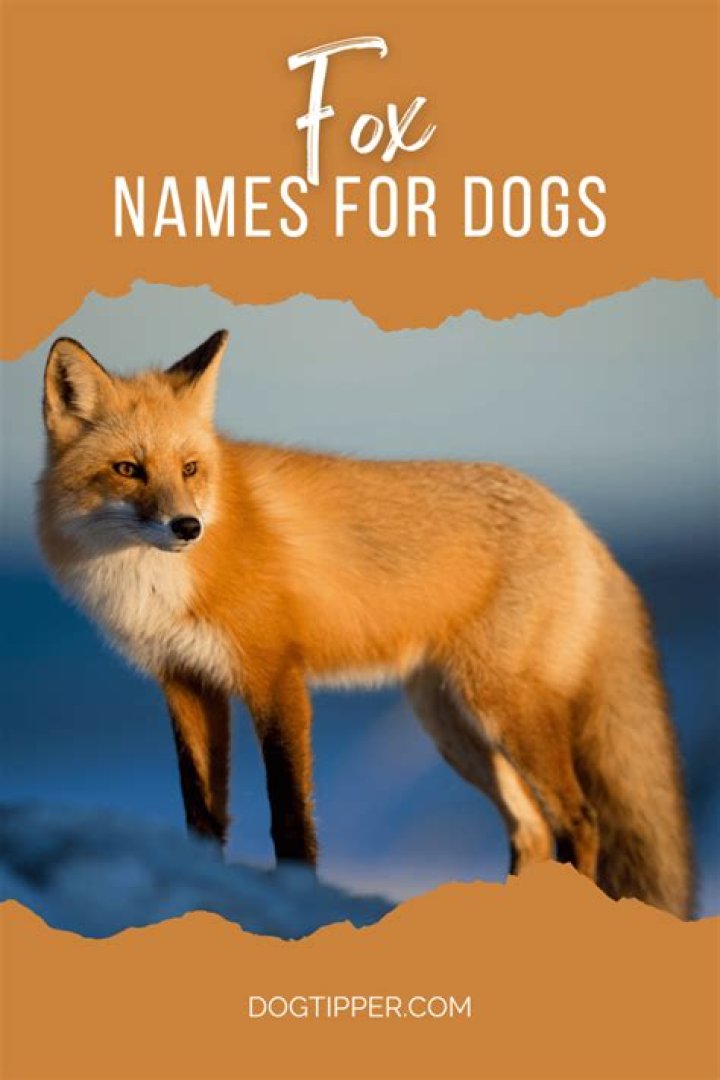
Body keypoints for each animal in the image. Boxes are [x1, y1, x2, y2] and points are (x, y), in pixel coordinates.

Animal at [37, 330, 694, 917]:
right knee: (531, 829)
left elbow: (290, 814)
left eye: (191, 468)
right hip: (453, 726)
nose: (187, 527)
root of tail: (579, 523)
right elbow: (202, 813)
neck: (155, 581)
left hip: (502, 709)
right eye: (129, 469)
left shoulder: (275, 676)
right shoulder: (186, 682)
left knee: (579, 820)